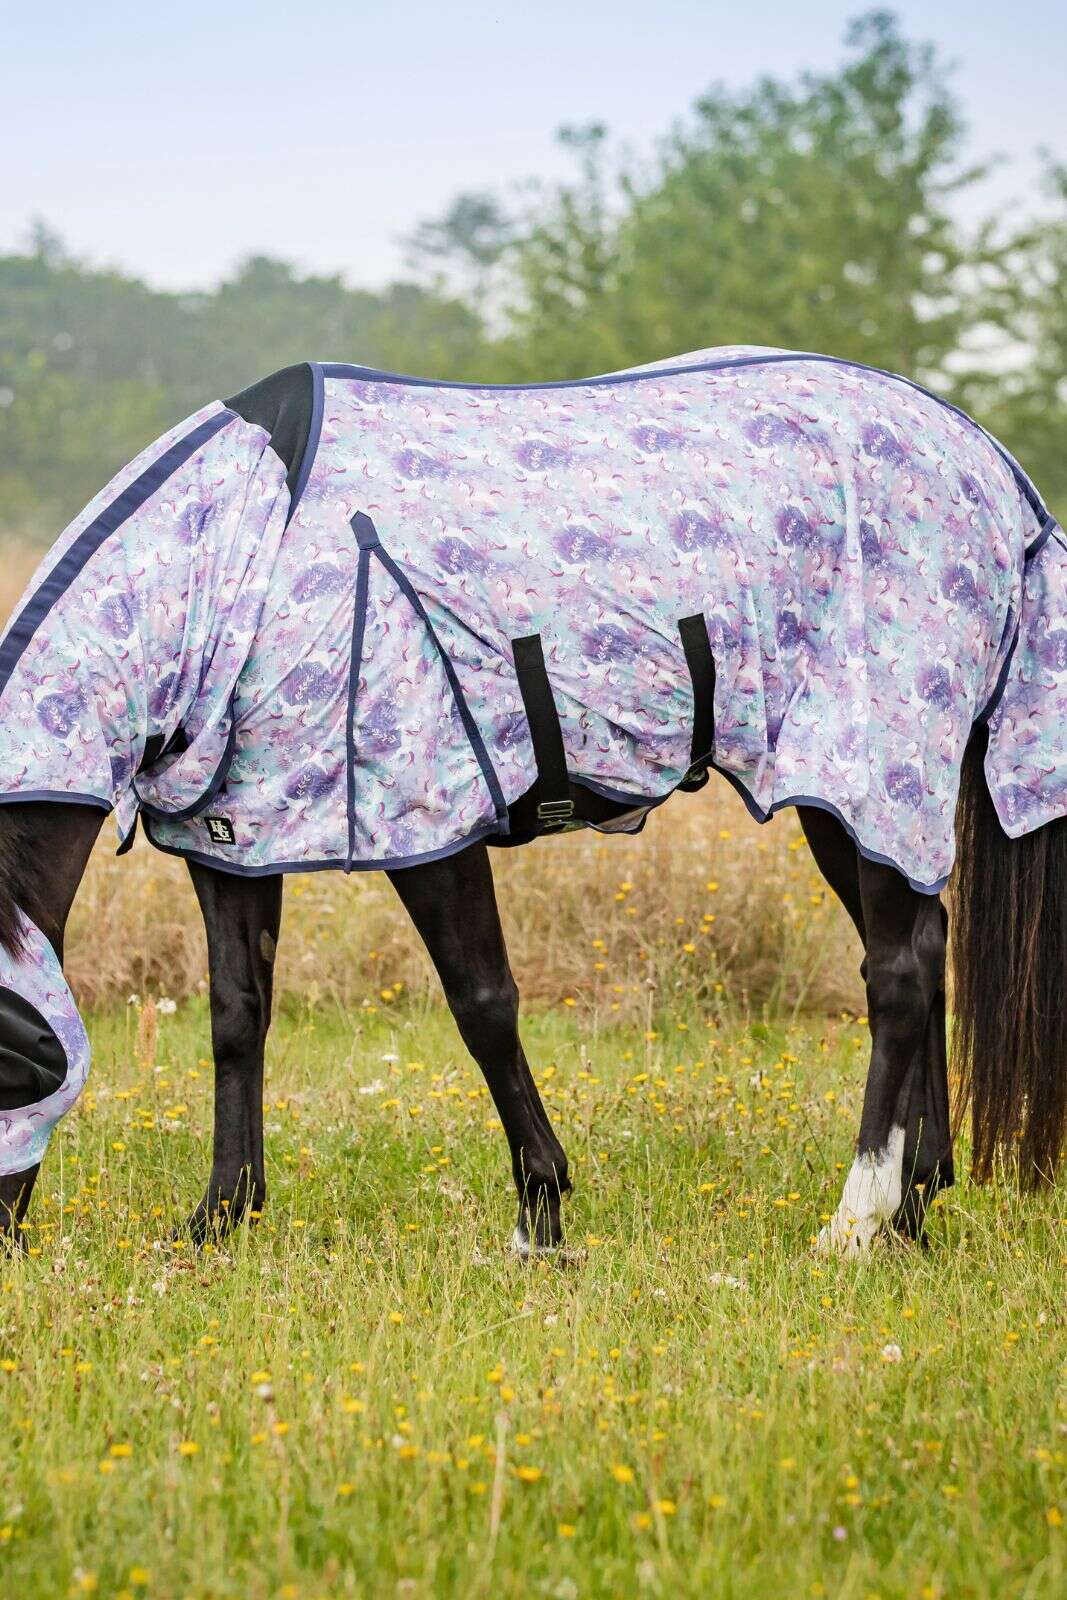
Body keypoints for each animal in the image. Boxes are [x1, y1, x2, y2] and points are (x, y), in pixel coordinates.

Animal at [1, 346, 1064, 1256]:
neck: (243, 558)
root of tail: (994, 470)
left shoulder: (430, 825)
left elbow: (483, 1006)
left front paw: (539, 1215)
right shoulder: (236, 835)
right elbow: (235, 1018)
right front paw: (219, 1220)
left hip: (863, 767)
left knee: (896, 973)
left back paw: (852, 1223)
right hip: (856, 803)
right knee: (924, 951)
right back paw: (913, 1207)